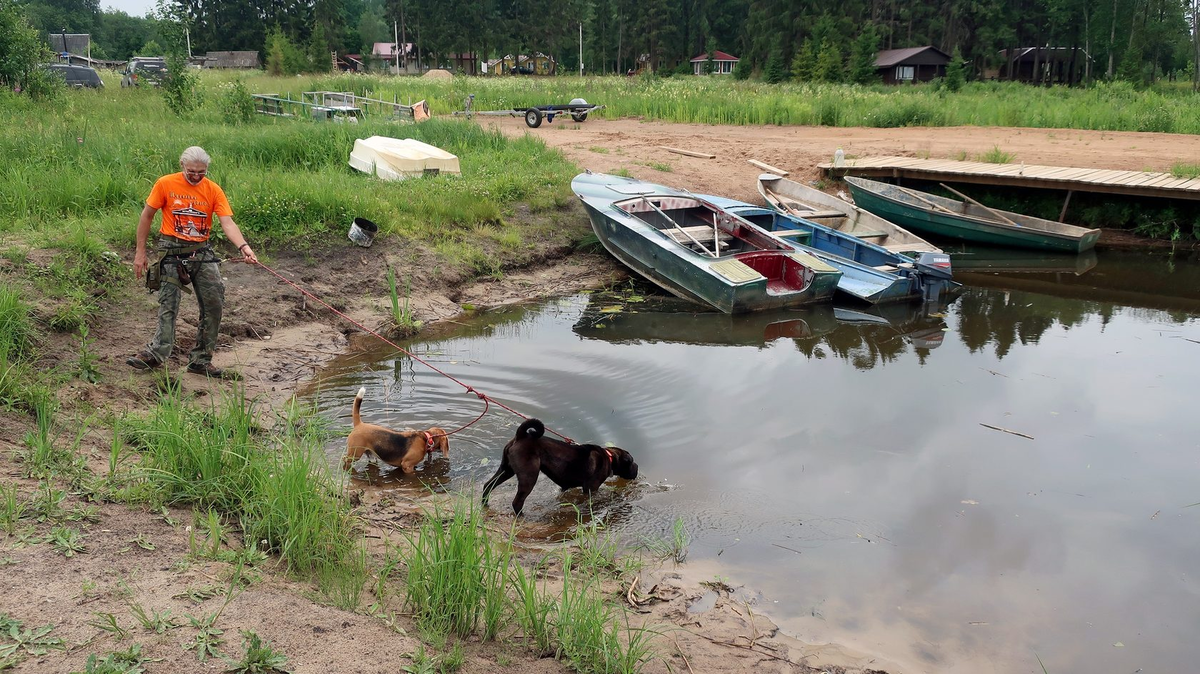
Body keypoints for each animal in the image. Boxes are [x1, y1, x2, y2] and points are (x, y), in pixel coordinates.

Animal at [482, 414, 643, 513]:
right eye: (632, 462)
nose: (637, 467)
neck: (610, 458)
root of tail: (520, 436)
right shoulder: (591, 488)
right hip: (528, 476)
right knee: (517, 502)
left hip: (506, 469)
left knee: (488, 485)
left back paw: (485, 503)